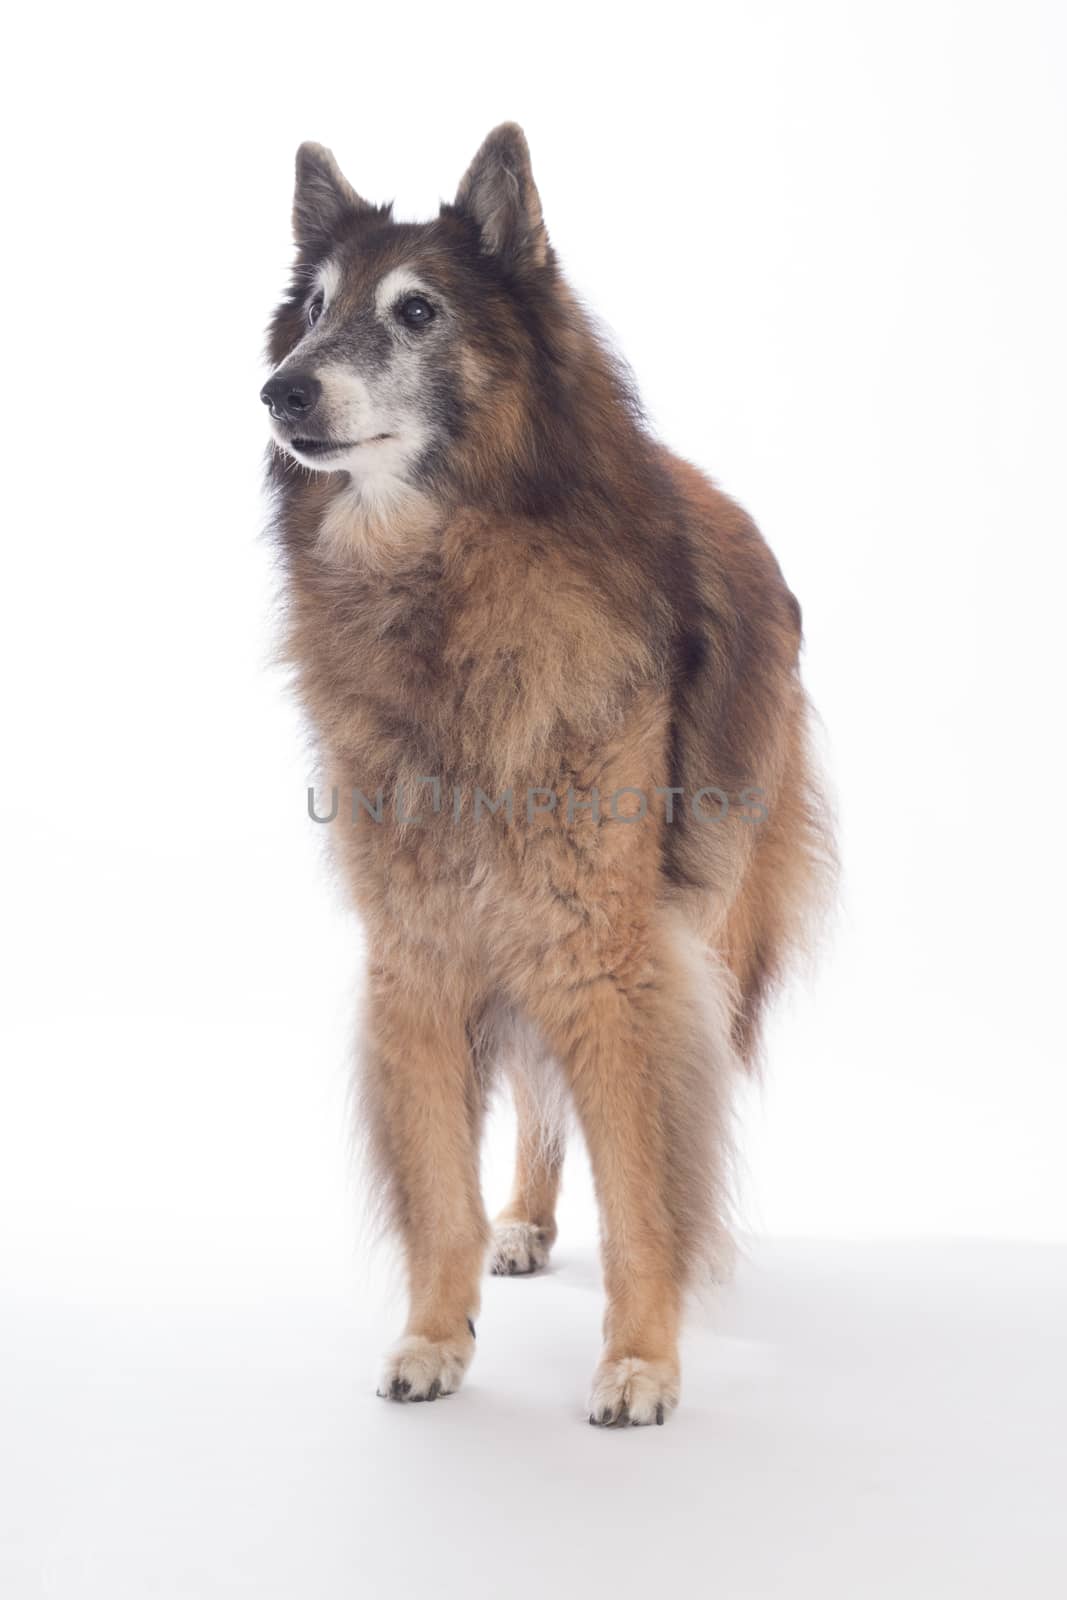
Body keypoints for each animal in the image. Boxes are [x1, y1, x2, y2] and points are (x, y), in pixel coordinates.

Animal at [260, 124, 831, 1427]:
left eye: (417, 311)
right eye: (311, 311)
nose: (282, 391)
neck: (443, 582)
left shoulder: (612, 953)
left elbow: (641, 1177)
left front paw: (641, 1355)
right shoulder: (422, 945)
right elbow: (436, 1182)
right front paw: (436, 1330)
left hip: (708, 928)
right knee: (533, 1093)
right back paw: (522, 1217)